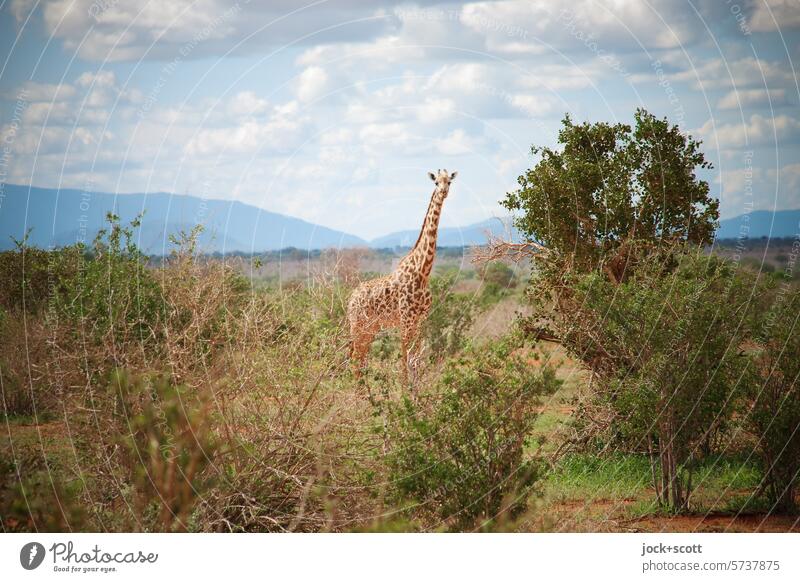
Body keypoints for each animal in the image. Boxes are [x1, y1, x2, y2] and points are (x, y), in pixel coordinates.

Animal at [348, 169, 460, 380]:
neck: (423, 271)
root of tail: (350, 299)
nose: (443, 192)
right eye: (436, 183)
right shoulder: (406, 320)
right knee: (354, 359)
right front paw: (405, 389)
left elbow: (416, 360)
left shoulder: (421, 320)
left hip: (370, 328)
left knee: (360, 358)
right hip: (357, 325)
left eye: (449, 181)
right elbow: (404, 361)